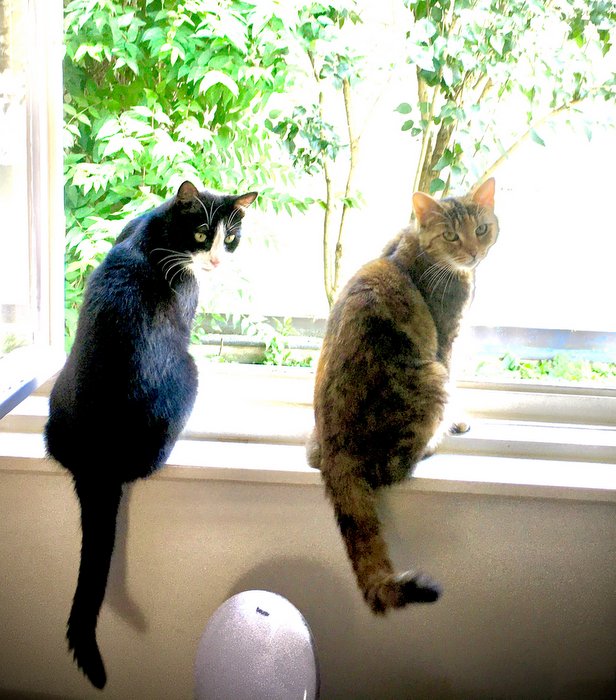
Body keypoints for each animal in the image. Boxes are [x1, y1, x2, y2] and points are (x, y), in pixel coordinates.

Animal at [43, 180, 255, 688]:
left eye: (230, 238)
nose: (216, 260)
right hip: (189, 376)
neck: (157, 230)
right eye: (202, 234)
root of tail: (97, 459)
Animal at [306, 178, 498, 608]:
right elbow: (457, 379)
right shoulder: (447, 343)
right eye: (451, 235)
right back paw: (433, 442)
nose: (474, 253)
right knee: (394, 469)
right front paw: (458, 422)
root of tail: (335, 449)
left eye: (481, 229)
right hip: (431, 379)